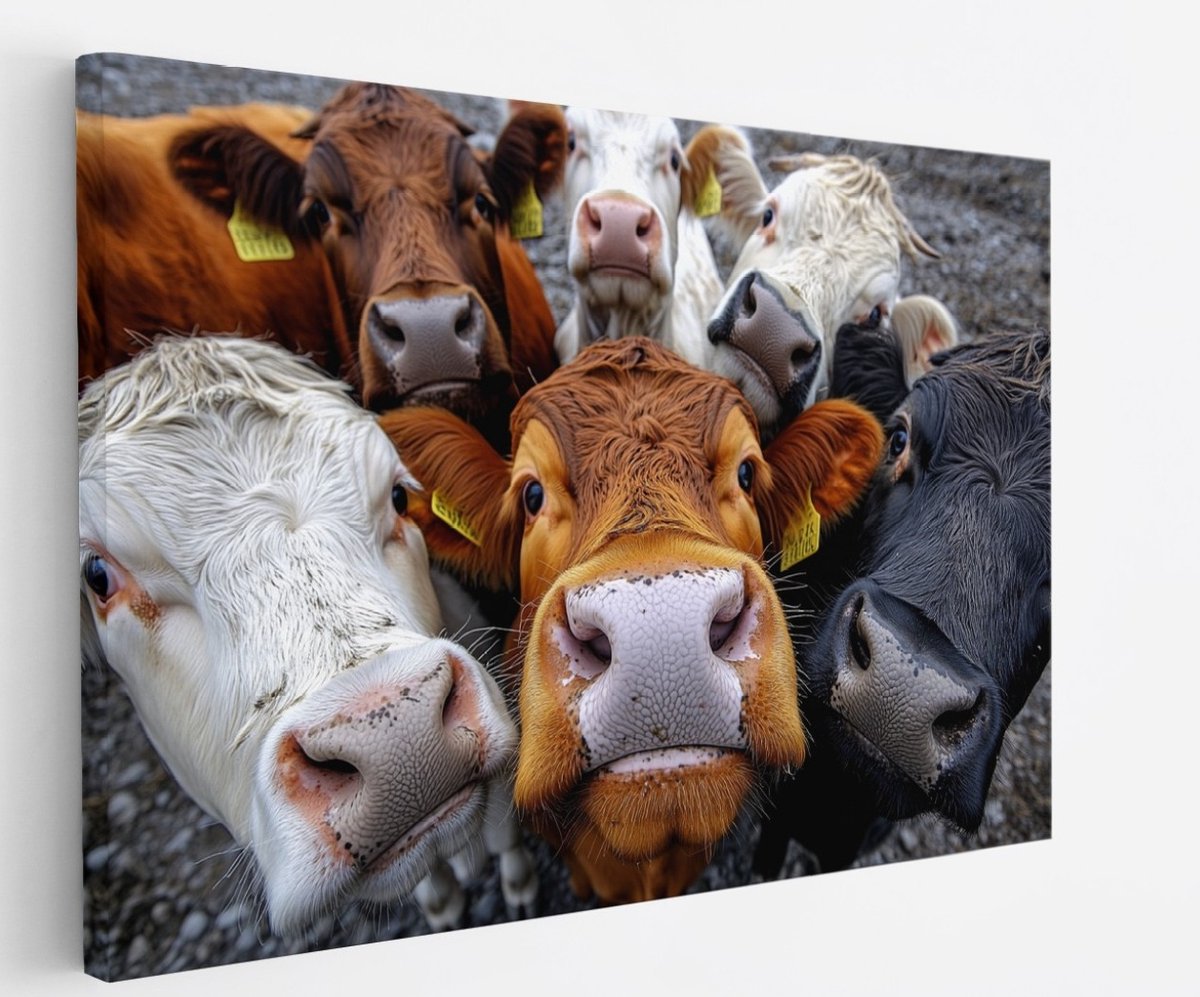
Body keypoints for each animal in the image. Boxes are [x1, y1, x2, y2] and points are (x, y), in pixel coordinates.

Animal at [78, 335, 536, 935]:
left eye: (398, 497)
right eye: (97, 575)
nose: (397, 739)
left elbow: (505, 829)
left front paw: (518, 886)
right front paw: (441, 904)